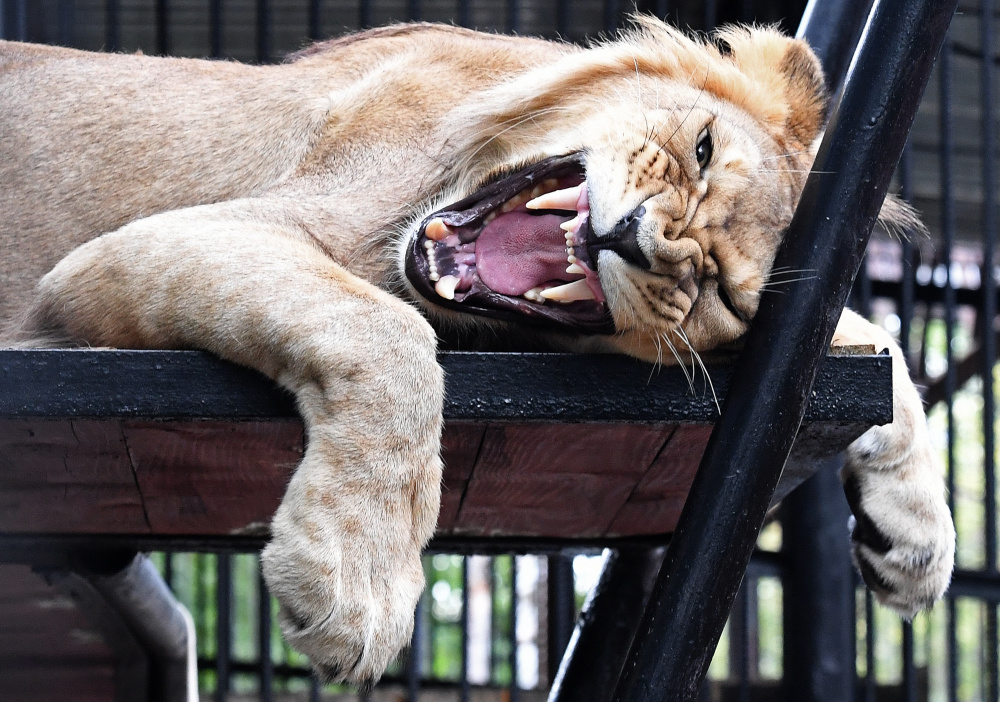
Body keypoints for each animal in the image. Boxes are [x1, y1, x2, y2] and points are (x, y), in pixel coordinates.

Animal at [0, 20, 952, 688]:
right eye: (704, 149)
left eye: (724, 295)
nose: (642, 243)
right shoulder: (133, 251)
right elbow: (391, 337)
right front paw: (357, 585)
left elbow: (871, 333)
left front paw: (916, 538)